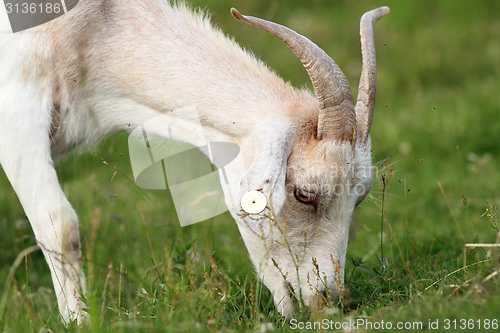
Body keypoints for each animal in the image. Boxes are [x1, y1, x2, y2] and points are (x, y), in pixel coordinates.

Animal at [0, 0, 388, 322]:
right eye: (304, 195)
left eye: (357, 200)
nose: (329, 300)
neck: (91, 26)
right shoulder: (17, 109)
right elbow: (60, 227)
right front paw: (79, 322)